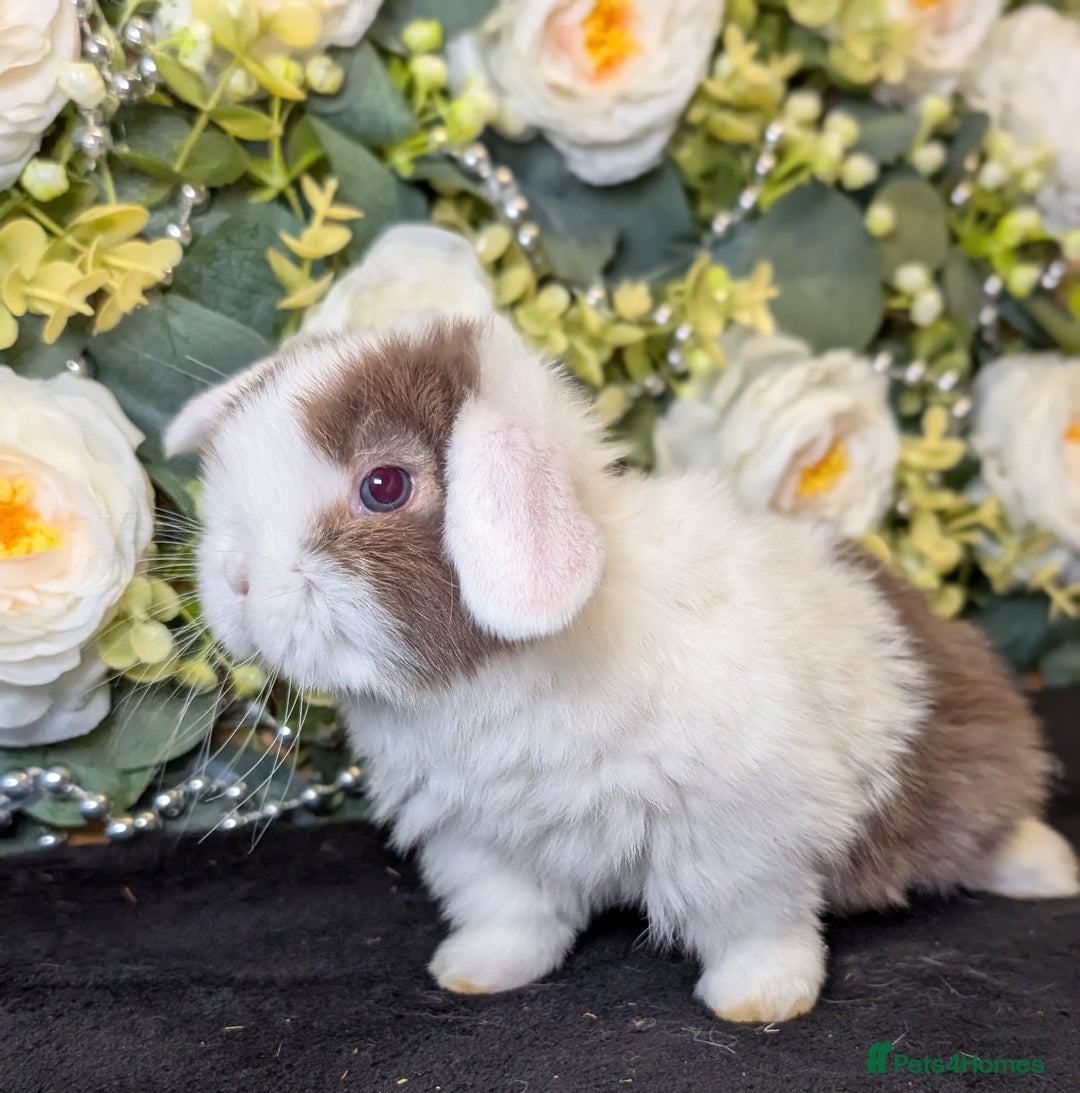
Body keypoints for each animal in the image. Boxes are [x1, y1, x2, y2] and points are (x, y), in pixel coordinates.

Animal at [165, 314, 1079, 1024]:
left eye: (384, 486)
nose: (235, 579)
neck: (499, 673)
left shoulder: (742, 831)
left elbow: (755, 923)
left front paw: (760, 1001)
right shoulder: (482, 839)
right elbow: (511, 917)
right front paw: (474, 975)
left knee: (990, 825)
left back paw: (1049, 871)